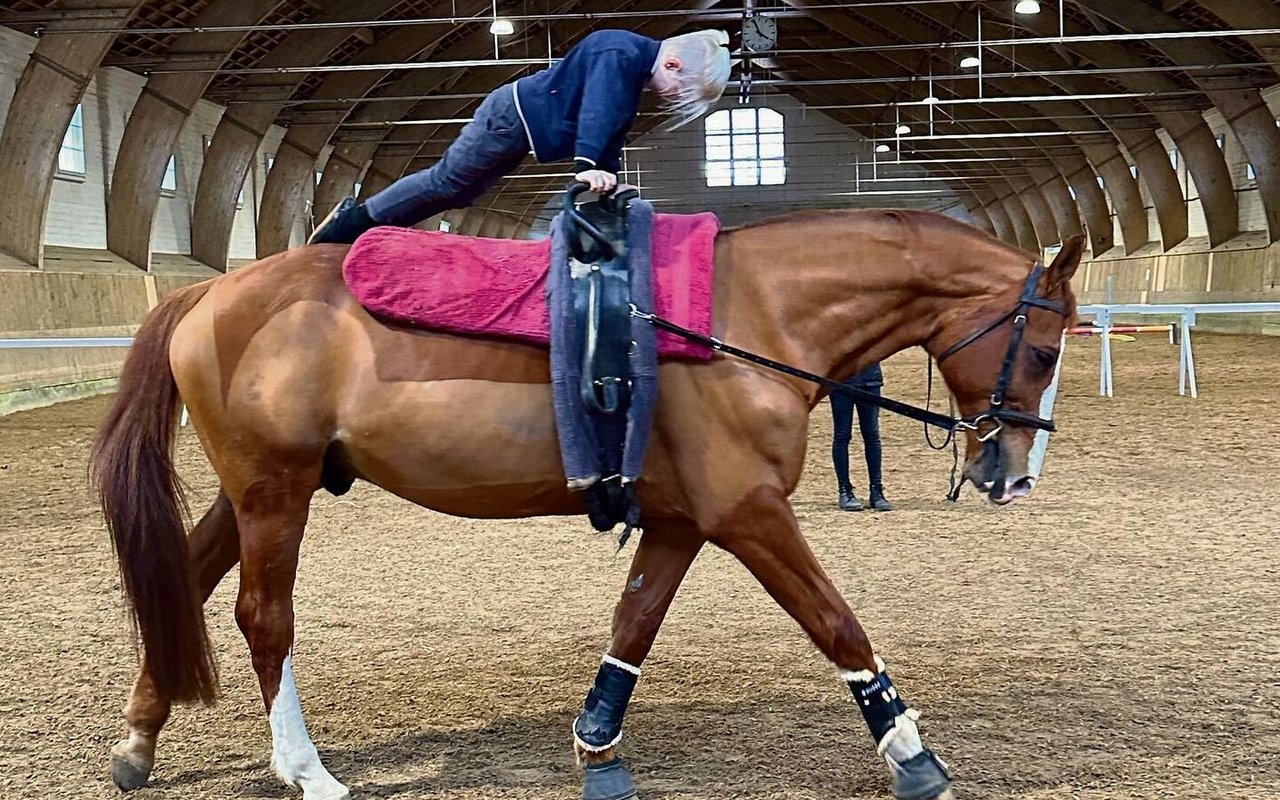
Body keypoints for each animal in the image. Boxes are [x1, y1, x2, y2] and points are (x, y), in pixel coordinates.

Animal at [87, 207, 1080, 798]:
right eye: (1039, 350)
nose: (1014, 473)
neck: (750, 315)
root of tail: (209, 289)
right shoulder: (749, 512)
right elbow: (836, 622)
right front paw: (911, 751)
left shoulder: (684, 521)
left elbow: (633, 624)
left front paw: (597, 741)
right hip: (274, 491)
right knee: (262, 617)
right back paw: (305, 769)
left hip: (255, 491)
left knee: (185, 580)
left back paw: (137, 742)